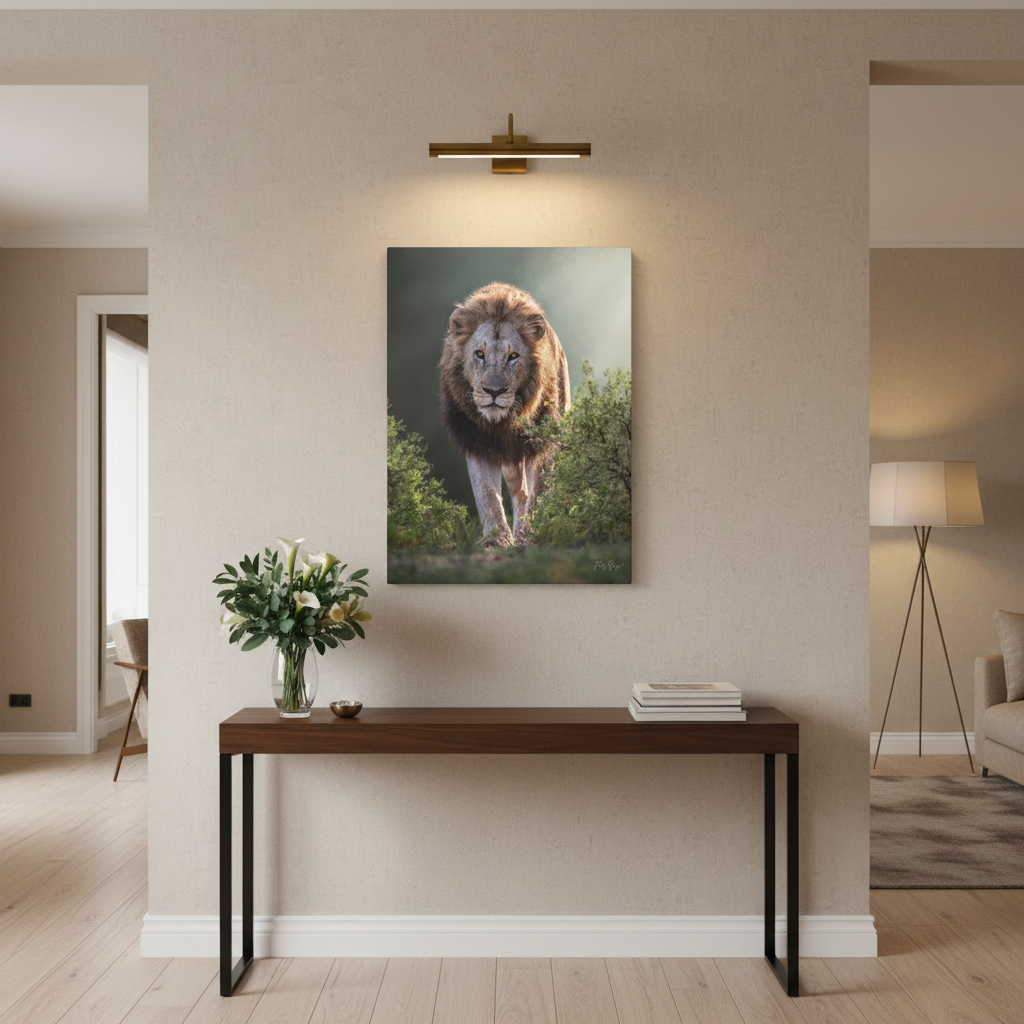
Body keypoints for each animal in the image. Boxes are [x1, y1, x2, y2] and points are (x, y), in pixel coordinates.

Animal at [439, 282, 570, 547]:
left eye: (513, 356)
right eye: (479, 354)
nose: (493, 391)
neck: (502, 424)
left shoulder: (543, 442)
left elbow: (539, 491)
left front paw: (529, 535)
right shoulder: (476, 440)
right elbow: (486, 494)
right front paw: (497, 539)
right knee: (519, 491)